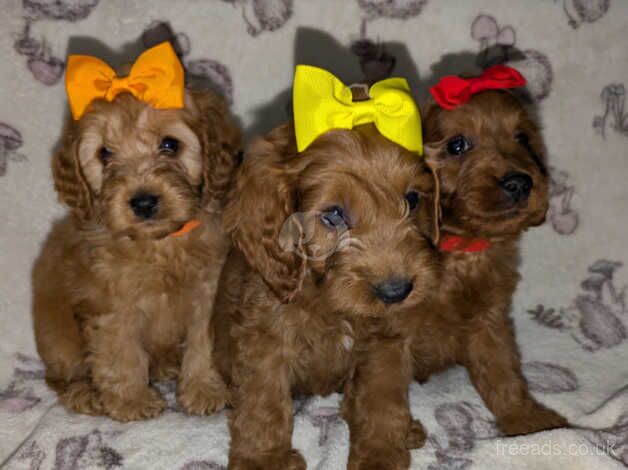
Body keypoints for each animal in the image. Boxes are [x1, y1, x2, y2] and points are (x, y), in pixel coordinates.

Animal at [33, 86, 242, 420]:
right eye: (104, 153)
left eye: (170, 145)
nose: (143, 202)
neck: (161, 244)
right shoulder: (113, 302)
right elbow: (120, 350)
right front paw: (131, 400)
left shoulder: (210, 291)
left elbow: (204, 342)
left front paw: (204, 390)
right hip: (57, 337)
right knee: (60, 375)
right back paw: (84, 393)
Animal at [213, 123, 440, 468]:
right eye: (333, 214)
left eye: (412, 199)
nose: (396, 291)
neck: (333, 304)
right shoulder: (263, 338)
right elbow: (262, 401)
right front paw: (264, 459)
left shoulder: (385, 340)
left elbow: (382, 396)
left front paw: (380, 454)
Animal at [404, 89, 568, 440]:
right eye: (457, 145)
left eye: (522, 138)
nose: (520, 183)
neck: (464, 248)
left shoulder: (489, 320)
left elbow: (502, 372)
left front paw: (527, 422)